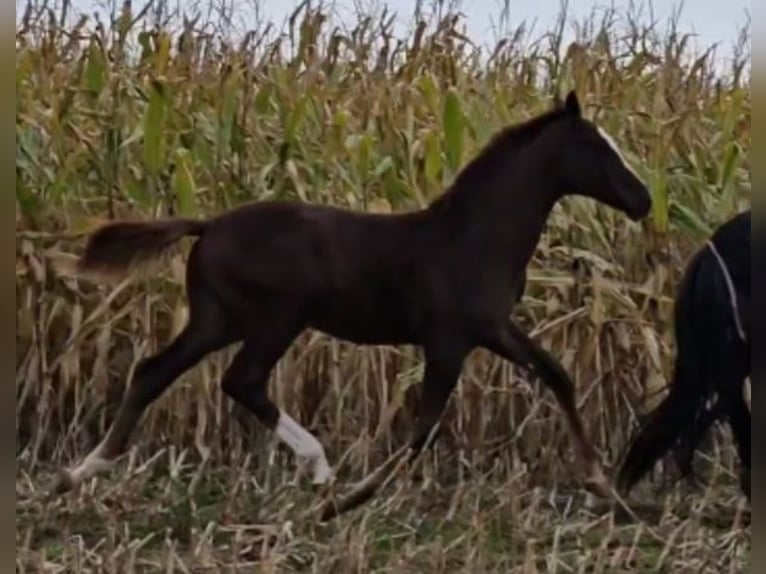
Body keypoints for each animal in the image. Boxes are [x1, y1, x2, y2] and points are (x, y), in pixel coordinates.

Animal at [53, 91, 651, 519]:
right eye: (598, 149)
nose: (645, 200)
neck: (472, 237)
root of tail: (208, 225)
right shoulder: (448, 341)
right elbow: (423, 427)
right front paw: (347, 503)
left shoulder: (493, 329)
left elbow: (558, 376)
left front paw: (602, 483)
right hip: (276, 319)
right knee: (241, 380)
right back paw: (319, 468)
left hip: (218, 319)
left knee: (154, 372)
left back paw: (82, 471)